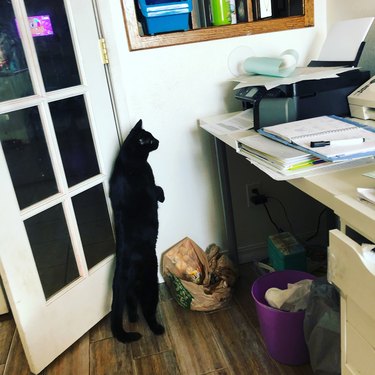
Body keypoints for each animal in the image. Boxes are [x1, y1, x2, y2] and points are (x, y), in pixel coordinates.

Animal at [108, 120, 164, 344]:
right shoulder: (151, 183)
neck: (127, 163)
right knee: (148, 311)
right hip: (150, 284)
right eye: (148, 140)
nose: (158, 141)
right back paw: (158, 329)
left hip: (130, 292)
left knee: (131, 306)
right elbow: (158, 190)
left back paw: (133, 319)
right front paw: (163, 196)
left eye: (152, 136)